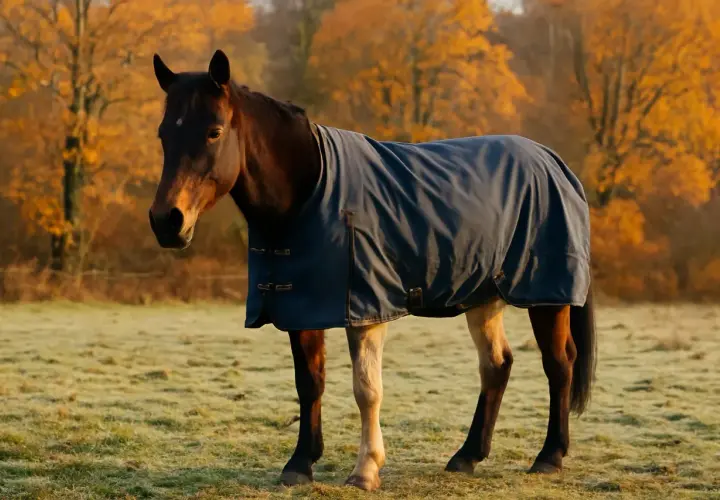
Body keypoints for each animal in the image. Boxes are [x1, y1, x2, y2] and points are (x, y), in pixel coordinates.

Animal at [149, 49, 596, 491]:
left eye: (214, 131)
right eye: (163, 134)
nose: (167, 221)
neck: (309, 191)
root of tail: (554, 162)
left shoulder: (366, 309)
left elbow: (367, 390)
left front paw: (365, 470)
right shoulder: (301, 307)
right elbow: (309, 383)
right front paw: (300, 463)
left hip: (546, 296)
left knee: (559, 363)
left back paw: (549, 457)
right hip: (484, 294)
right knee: (497, 365)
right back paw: (467, 457)